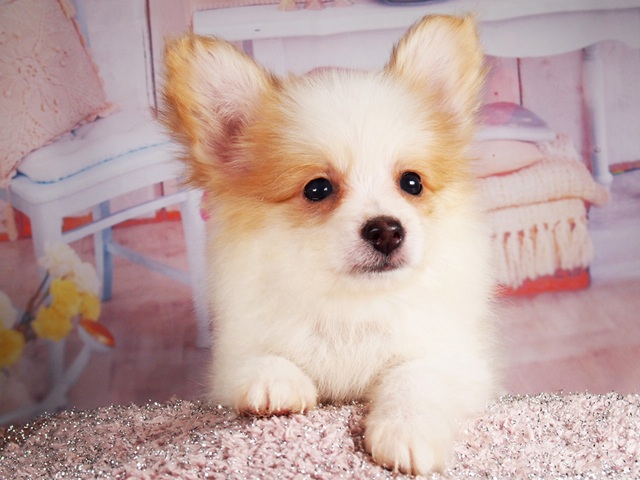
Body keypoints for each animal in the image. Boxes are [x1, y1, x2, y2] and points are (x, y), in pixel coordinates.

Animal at [161, 14, 501, 475]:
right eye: (317, 189)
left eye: (411, 182)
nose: (387, 230)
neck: (352, 309)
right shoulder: (231, 358)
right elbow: (258, 360)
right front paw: (275, 383)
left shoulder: (453, 356)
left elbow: (414, 377)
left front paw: (407, 431)